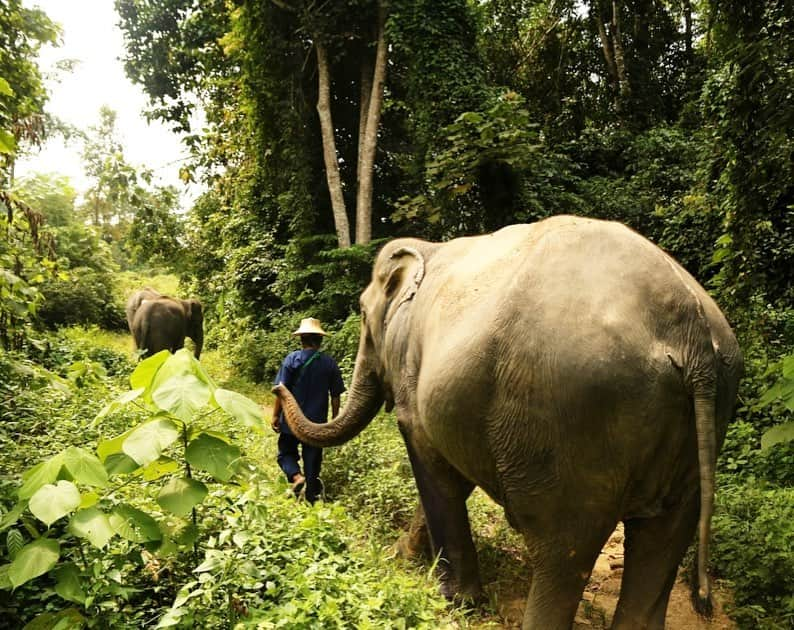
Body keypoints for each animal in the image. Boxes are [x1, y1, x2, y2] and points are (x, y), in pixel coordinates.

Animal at [274, 215, 744, 628]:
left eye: (361, 312)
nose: (279, 391)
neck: (429, 249)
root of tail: (688, 328)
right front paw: (404, 557)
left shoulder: (413, 377)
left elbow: (432, 464)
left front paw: (454, 599)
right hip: (704, 419)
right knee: (661, 540)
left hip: (574, 421)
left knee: (564, 549)